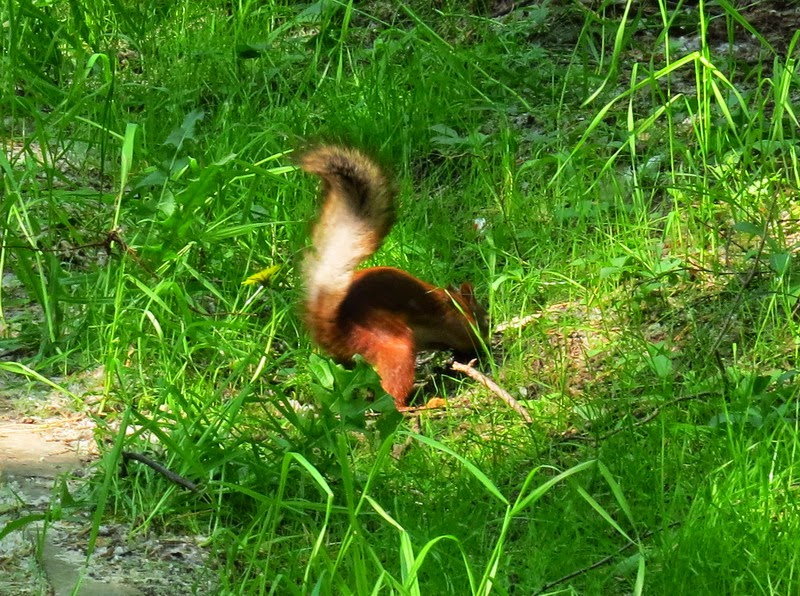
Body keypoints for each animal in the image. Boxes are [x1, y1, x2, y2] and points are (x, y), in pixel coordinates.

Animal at [298, 144, 488, 410]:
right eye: (483, 318)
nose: (487, 339)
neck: (453, 304)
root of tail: (334, 331)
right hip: (391, 344)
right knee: (393, 397)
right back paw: (421, 405)